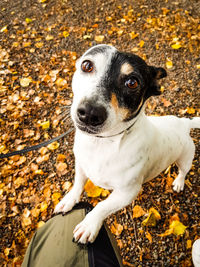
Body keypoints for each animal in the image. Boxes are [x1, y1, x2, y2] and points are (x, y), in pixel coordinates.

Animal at [54, 44, 199, 245]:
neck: (103, 143)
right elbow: (77, 184)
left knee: (183, 171)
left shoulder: (127, 193)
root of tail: (184, 123)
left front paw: (89, 225)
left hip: (185, 158)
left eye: (132, 82)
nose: (89, 113)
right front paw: (69, 200)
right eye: (86, 65)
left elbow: (102, 206)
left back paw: (178, 182)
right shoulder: (81, 165)